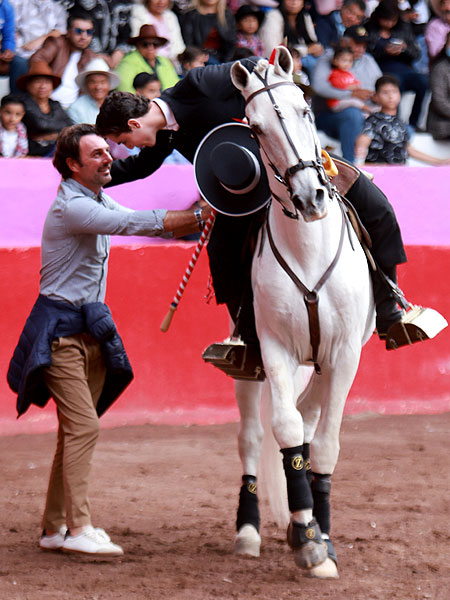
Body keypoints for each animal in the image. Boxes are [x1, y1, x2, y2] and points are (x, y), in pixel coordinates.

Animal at [229, 47, 376, 576]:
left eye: (306, 110)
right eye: (254, 128)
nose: (310, 197)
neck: (308, 247)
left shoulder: (345, 354)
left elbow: (325, 441)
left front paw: (321, 535)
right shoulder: (273, 349)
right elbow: (286, 430)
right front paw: (308, 539)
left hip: (324, 363)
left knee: (311, 419)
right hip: (249, 366)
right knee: (254, 437)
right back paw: (250, 531)